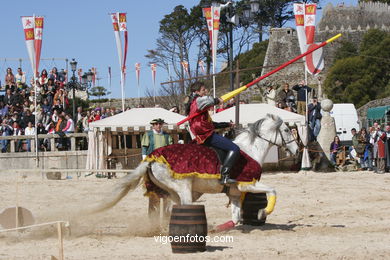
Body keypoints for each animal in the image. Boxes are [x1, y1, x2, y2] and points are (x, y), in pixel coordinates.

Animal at [93, 115, 298, 226]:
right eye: (287, 130)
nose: (297, 150)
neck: (250, 150)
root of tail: (152, 157)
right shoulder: (248, 185)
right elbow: (272, 190)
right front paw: (263, 212)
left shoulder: (234, 192)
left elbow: (235, 217)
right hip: (183, 189)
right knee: (180, 208)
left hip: (171, 191)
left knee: (165, 208)